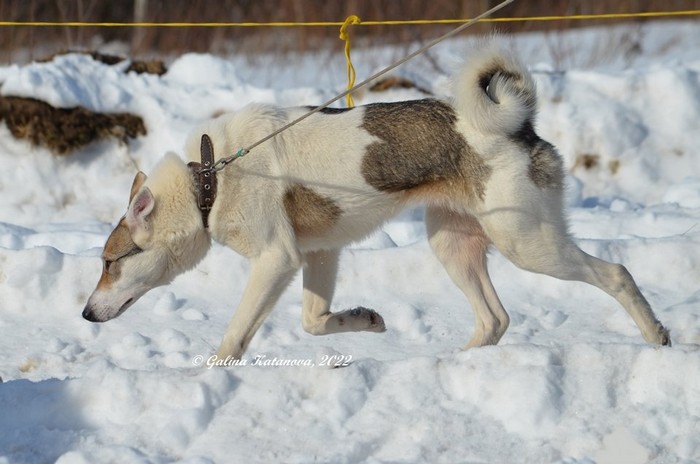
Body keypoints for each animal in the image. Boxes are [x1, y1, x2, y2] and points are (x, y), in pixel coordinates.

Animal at [83, 43, 671, 359]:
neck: (211, 179)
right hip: (453, 245)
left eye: (110, 263)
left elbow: (233, 338)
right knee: (495, 320)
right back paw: (458, 363)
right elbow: (316, 321)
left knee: (617, 273)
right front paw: (364, 320)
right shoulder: (318, 256)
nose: (86, 313)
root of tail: (517, 127)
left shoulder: (277, 260)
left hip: (529, 244)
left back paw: (656, 335)